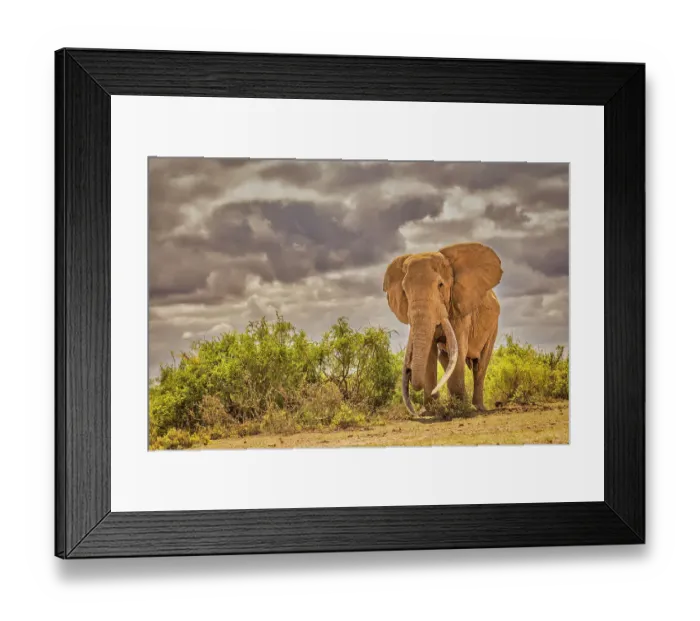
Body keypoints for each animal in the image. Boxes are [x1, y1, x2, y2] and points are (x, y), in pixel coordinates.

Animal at [383, 242, 502, 415]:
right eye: (404, 290)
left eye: (440, 285)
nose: (409, 371)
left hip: (493, 326)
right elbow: (430, 353)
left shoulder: (460, 309)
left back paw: (478, 407)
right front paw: (431, 411)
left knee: (480, 364)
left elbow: (460, 348)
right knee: (446, 358)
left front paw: (460, 409)